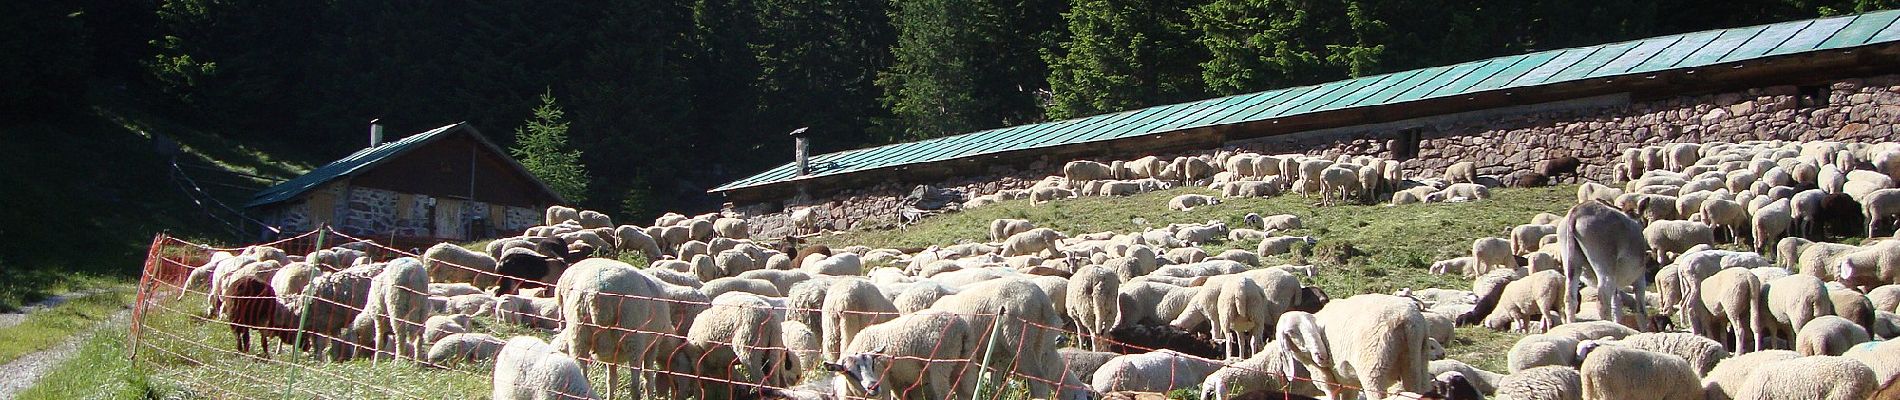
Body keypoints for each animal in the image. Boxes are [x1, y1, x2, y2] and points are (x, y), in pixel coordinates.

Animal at [1276, 293, 1428, 400]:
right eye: (1291, 332)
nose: (1322, 356)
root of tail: (1406, 318)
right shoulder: (1348, 382)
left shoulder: (1327, 381)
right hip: (1417, 361)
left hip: (1374, 366)